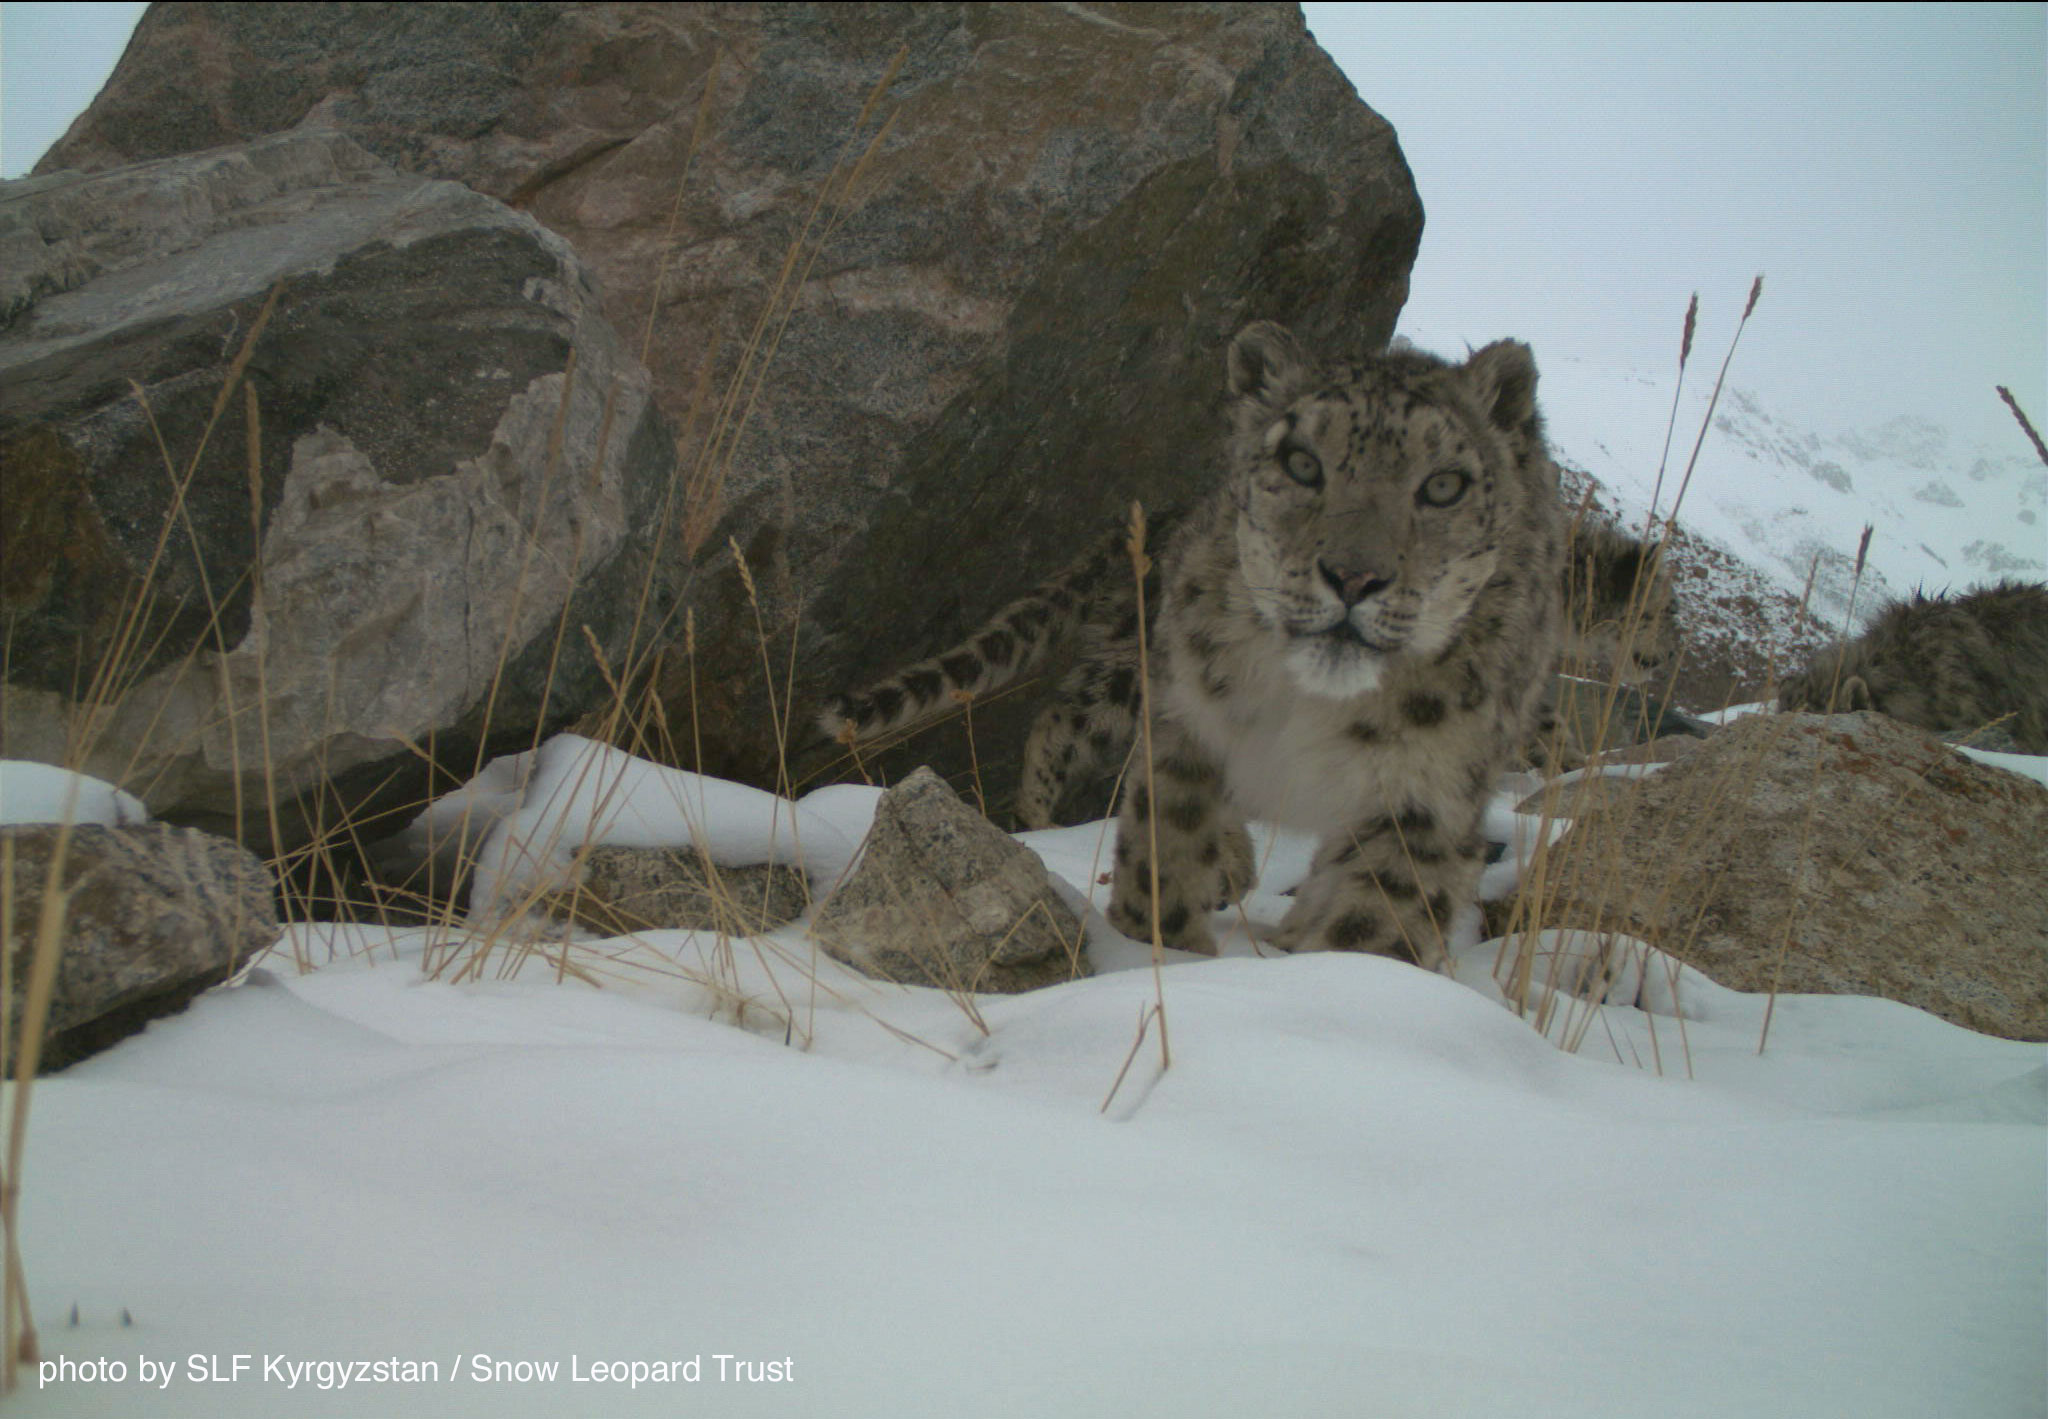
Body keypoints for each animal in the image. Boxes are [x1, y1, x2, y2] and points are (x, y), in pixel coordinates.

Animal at [820, 321, 1567, 967]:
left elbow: (1370, 924)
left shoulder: (1425, 798)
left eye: (1444, 485)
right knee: (1063, 719)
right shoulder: (1191, 728)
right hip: (1130, 674)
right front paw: (1165, 948)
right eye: (1301, 462)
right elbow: (1165, 845)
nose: (1355, 576)